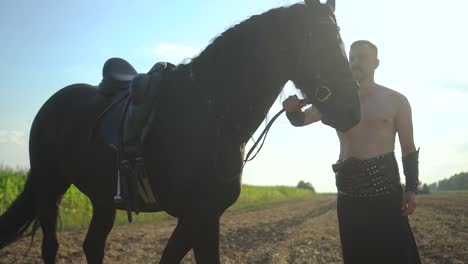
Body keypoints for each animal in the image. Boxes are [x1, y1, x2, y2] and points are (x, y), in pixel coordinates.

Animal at [0, 1, 360, 262]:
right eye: (319, 42)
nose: (352, 110)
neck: (210, 110)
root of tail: (52, 103)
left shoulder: (203, 215)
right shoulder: (199, 215)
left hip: (102, 198)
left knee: (92, 244)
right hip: (50, 187)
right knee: (51, 246)